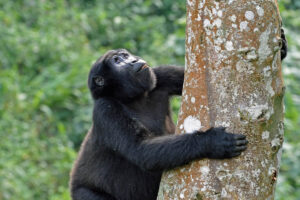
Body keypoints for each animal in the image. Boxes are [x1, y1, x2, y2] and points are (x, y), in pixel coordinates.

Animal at [69, 48, 247, 200]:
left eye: (125, 55)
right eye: (117, 61)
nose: (133, 60)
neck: (132, 98)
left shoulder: (158, 74)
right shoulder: (105, 109)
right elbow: (141, 149)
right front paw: (210, 141)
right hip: (82, 194)